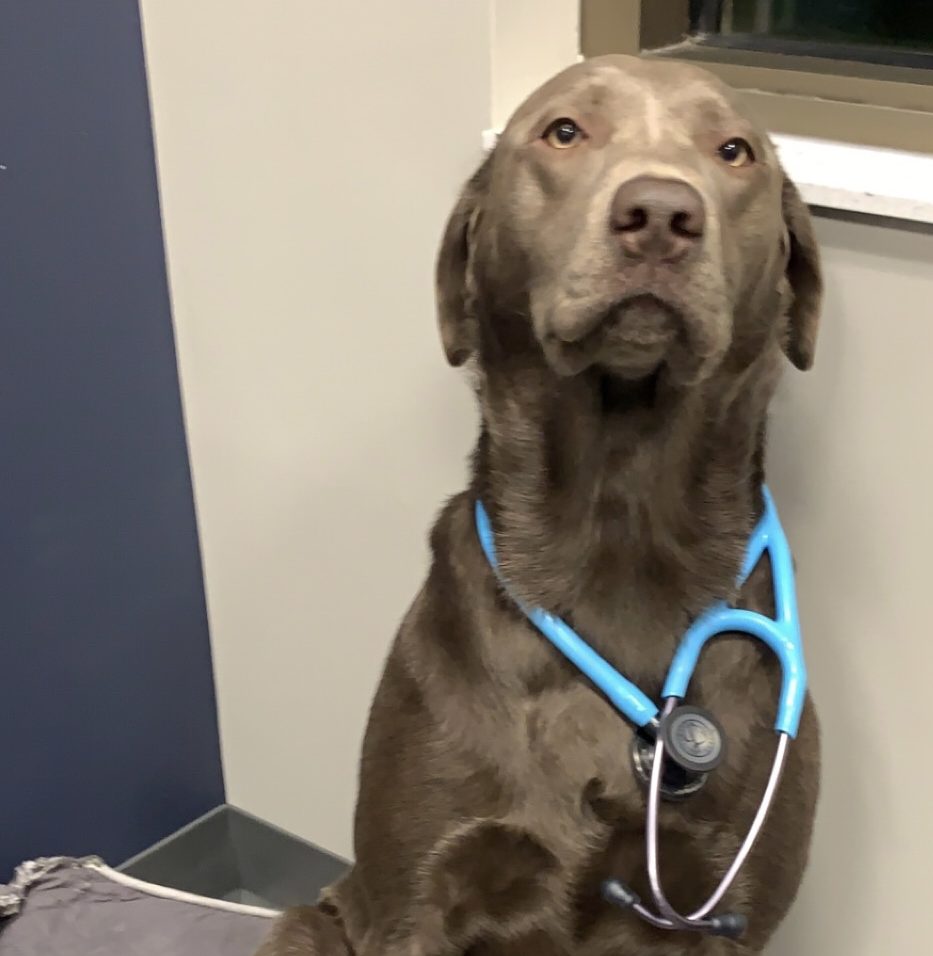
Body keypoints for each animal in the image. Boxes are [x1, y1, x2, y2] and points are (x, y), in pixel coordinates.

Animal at [255, 54, 824, 956]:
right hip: (305, 925)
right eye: (563, 132)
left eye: (734, 151)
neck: (619, 520)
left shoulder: (733, 913)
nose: (659, 214)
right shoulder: (417, 896)